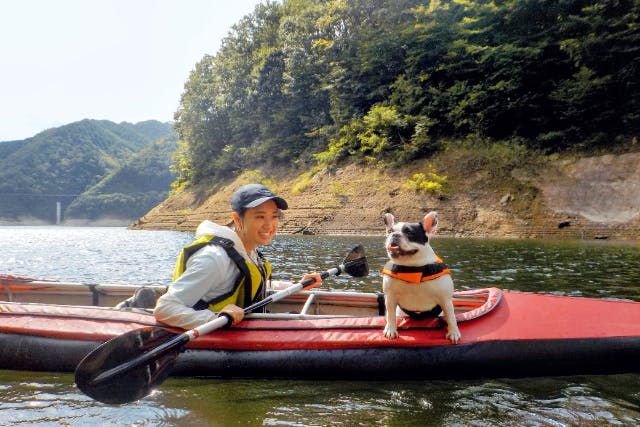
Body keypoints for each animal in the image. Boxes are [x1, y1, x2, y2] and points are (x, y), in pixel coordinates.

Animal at [380, 214, 460, 344]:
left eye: (409, 233)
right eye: (390, 231)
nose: (395, 235)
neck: (412, 267)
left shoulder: (445, 300)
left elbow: (451, 317)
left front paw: (453, 332)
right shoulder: (390, 297)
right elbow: (390, 315)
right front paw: (391, 329)